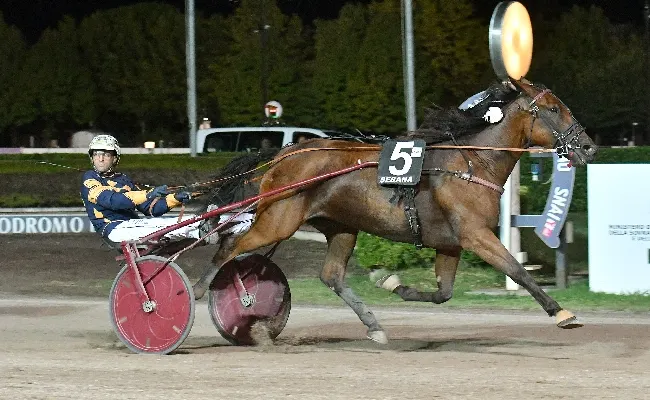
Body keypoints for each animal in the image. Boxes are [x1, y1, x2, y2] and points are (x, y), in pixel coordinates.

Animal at [191, 78, 598, 344]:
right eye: (553, 109)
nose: (589, 147)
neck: (472, 163)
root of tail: (285, 154)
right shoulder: (475, 235)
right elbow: (517, 269)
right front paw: (561, 313)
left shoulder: (450, 243)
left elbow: (443, 294)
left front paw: (391, 283)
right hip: (278, 220)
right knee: (230, 247)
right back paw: (195, 290)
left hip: (340, 225)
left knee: (331, 275)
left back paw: (372, 326)